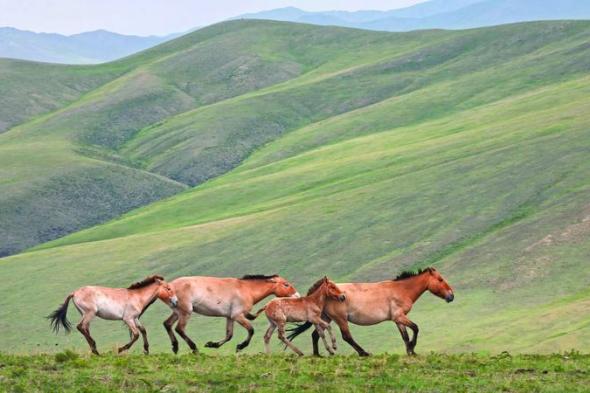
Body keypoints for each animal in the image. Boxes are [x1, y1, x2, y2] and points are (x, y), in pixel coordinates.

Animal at [47, 274, 178, 354]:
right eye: (168, 288)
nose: (176, 301)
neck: (136, 297)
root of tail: (74, 293)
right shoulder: (128, 319)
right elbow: (136, 334)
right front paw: (121, 349)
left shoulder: (135, 318)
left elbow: (143, 330)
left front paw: (146, 350)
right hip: (90, 313)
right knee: (81, 326)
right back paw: (95, 349)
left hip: (84, 314)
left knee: (85, 328)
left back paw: (95, 350)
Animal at [163, 274, 298, 354]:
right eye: (286, 284)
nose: (297, 296)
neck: (246, 289)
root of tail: (168, 287)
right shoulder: (237, 316)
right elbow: (251, 330)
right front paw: (240, 346)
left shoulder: (230, 317)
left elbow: (229, 335)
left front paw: (212, 344)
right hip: (186, 311)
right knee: (179, 328)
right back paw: (194, 348)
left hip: (177, 312)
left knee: (167, 324)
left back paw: (175, 347)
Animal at [290, 266, 456, 356]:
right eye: (440, 279)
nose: (451, 296)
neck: (401, 290)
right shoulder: (399, 316)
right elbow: (415, 328)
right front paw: (412, 348)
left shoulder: (398, 320)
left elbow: (405, 336)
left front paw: (410, 351)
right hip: (340, 319)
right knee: (346, 336)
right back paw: (363, 353)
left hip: (325, 317)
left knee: (315, 334)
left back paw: (318, 355)